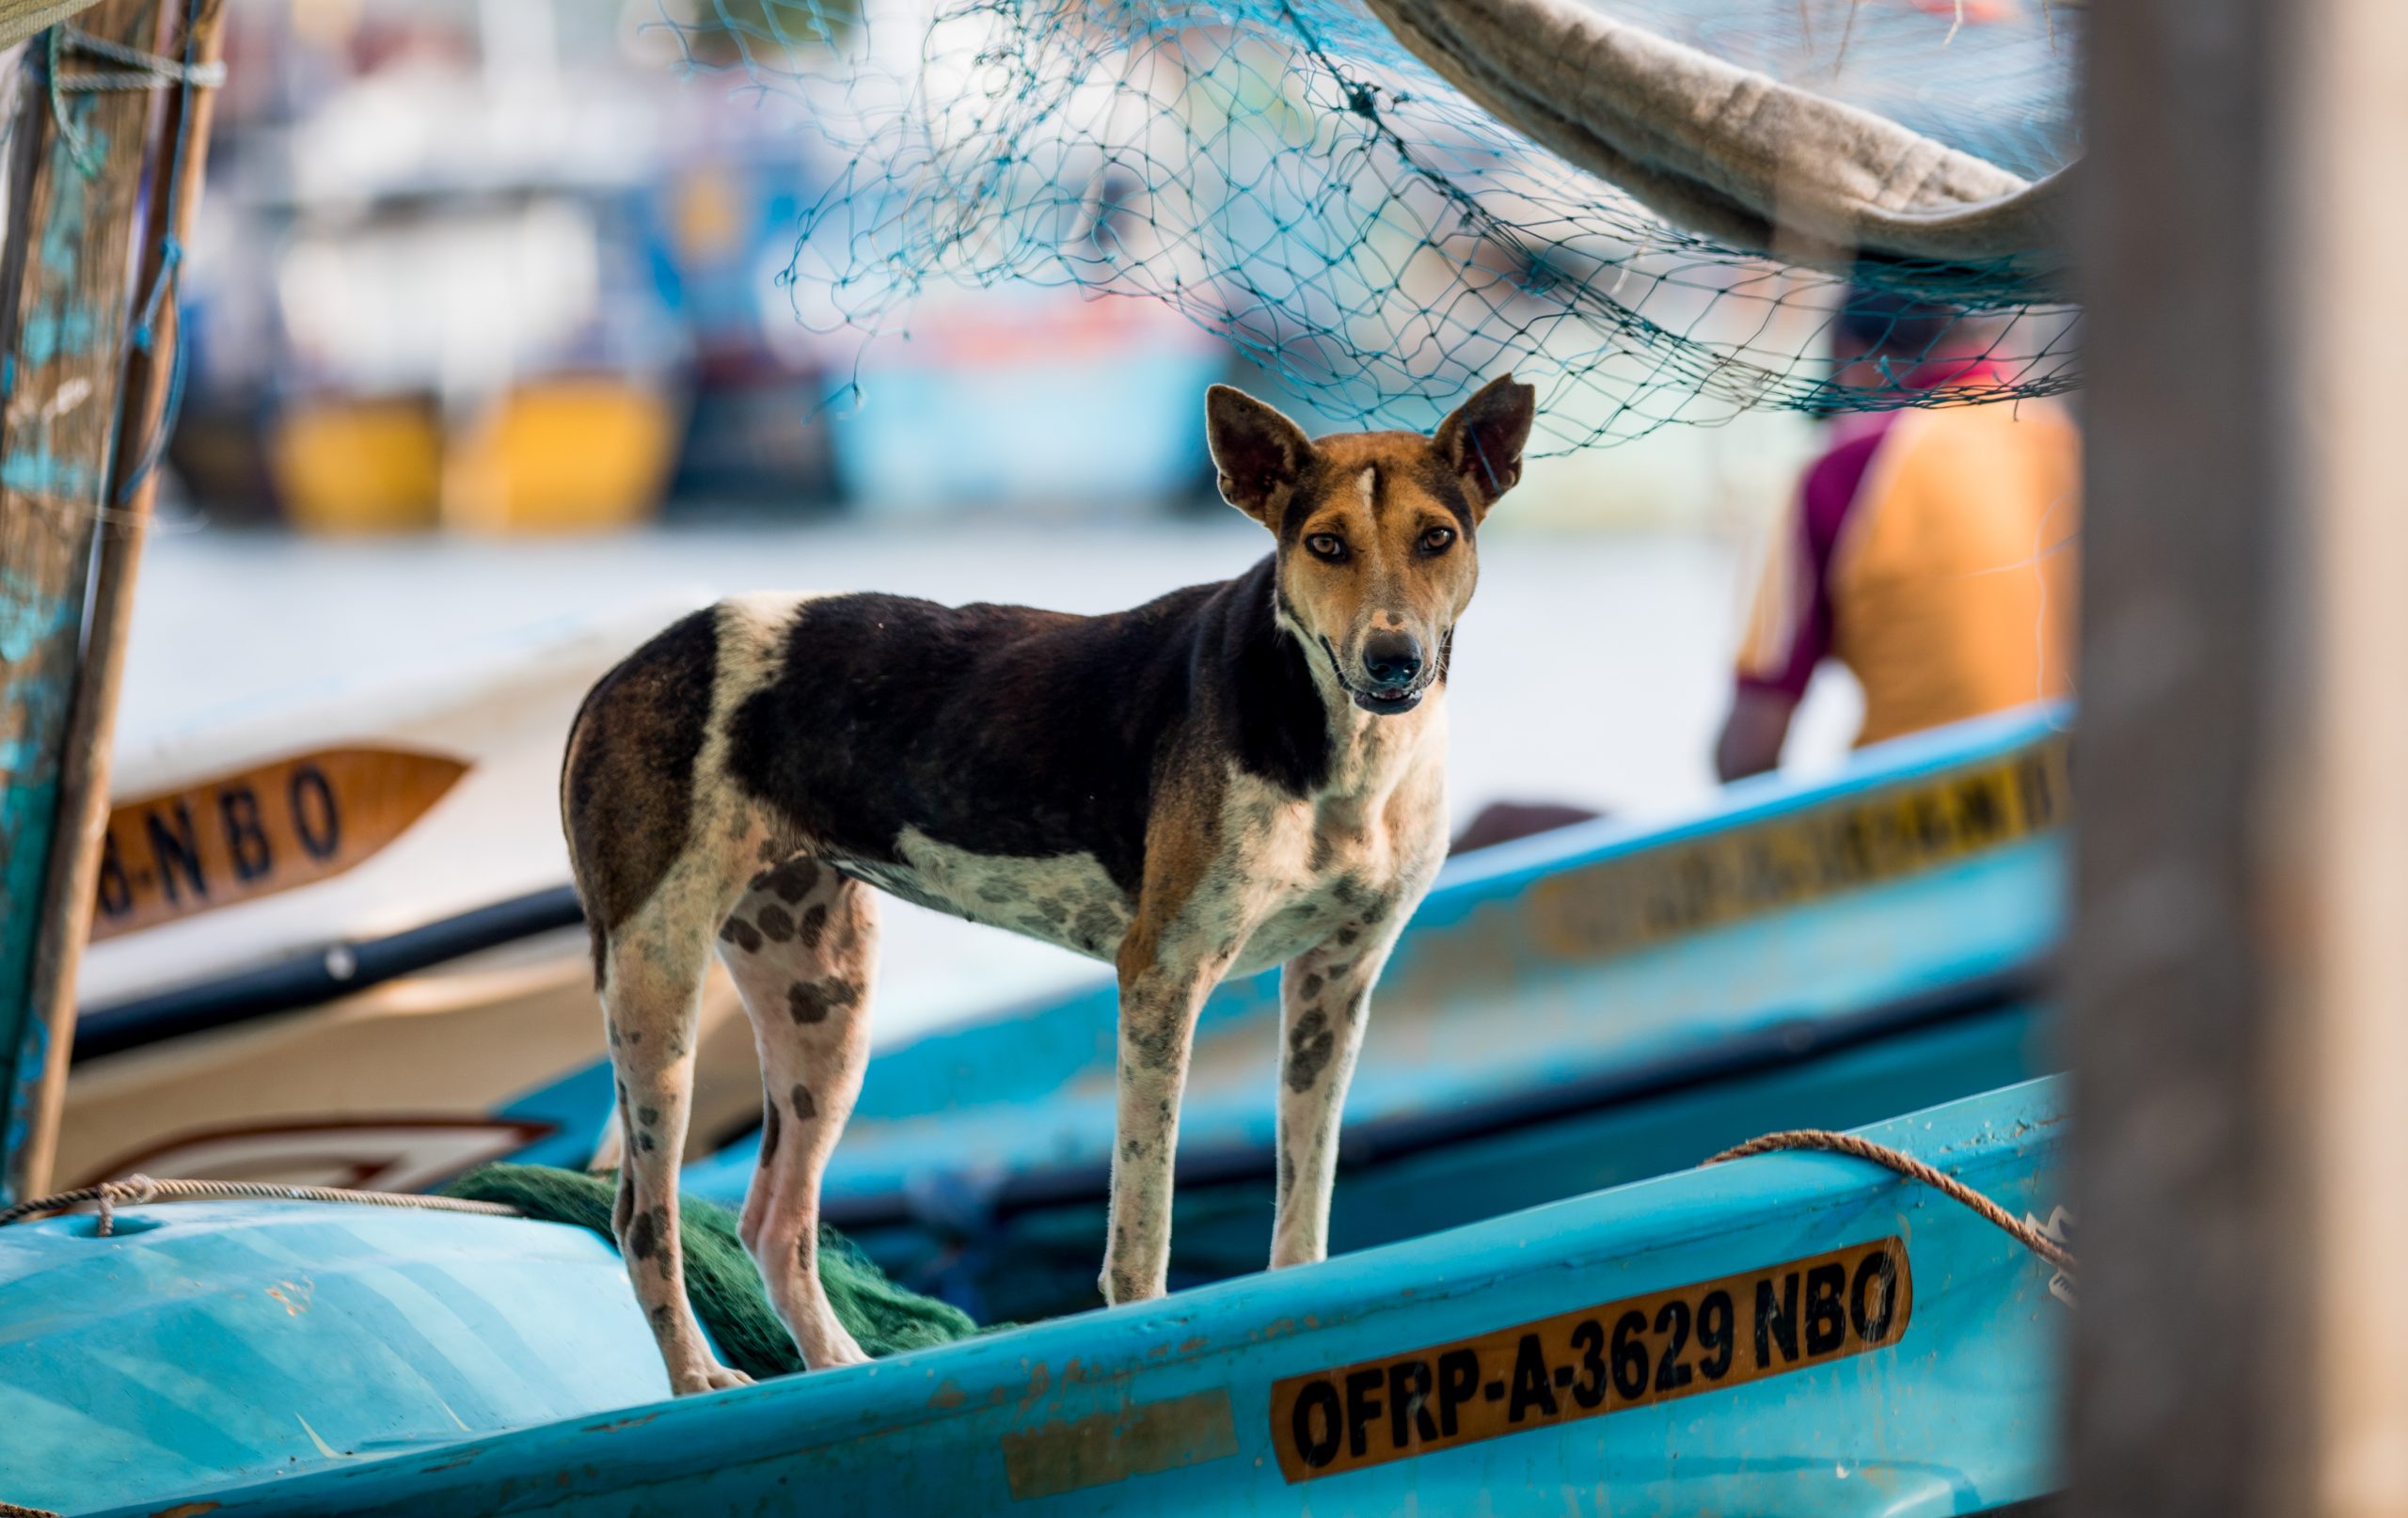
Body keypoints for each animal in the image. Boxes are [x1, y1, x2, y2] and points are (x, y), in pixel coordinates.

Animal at [561, 371, 1531, 1387]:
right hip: (658, 989)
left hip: (821, 1005)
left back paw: (840, 1368)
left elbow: (1303, 1211)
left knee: (775, 1222)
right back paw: (696, 1379)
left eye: (1438, 537)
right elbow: (1142, 1227)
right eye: (1326, 544)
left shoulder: (1335, 985)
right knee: (642, 1220)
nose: (1394, 658)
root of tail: (628, 668)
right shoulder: (1162, 980)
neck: (1339, 746)